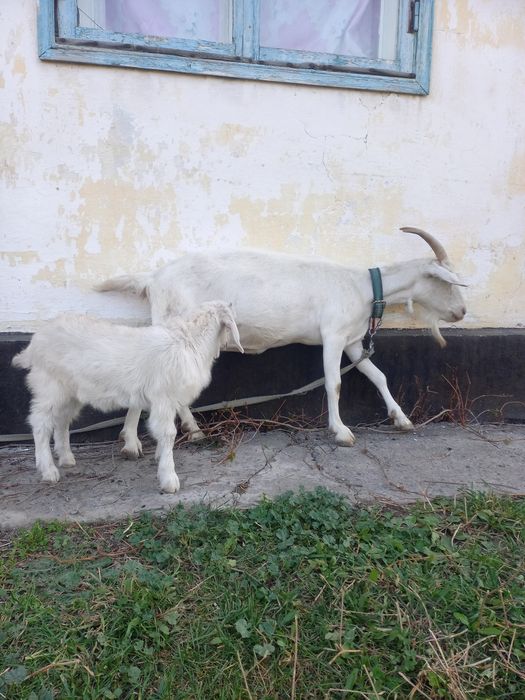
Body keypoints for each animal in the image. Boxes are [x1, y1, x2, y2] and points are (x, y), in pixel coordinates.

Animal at [11, 301, 243, 492]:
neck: (187, 341)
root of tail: (33, 344)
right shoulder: (164, 398)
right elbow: (168, 433)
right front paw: (169, 479)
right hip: (50, 387)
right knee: (40, 423)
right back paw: (48, 470)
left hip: (71, 392)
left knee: (62, 420)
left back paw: (66, 458)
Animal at [96, 227, 466, 454]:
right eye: (447, 282)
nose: (462, 312)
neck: (360, 285)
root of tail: (153, 278)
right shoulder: (333, 334)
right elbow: (333, 383)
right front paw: (341, 431)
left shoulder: (351, 341)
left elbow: (377, 375)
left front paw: (401, 419)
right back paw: (131, 442)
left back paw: (192, 431)